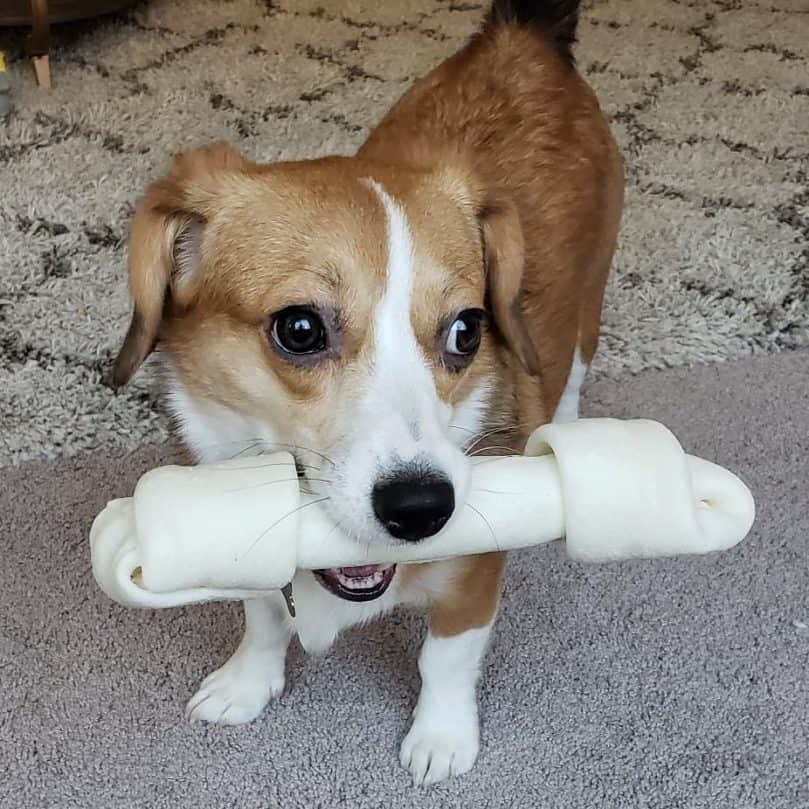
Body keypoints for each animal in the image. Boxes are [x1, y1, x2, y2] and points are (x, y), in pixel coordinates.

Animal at [110, 0, 620, 784]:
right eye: (298, 328)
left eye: (467, 331)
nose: (423, 508)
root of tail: (523, 37)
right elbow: (263, 615)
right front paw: (246, 682)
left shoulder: (470, 583)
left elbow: (445, 659)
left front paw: (441, 738)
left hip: (589, 306)